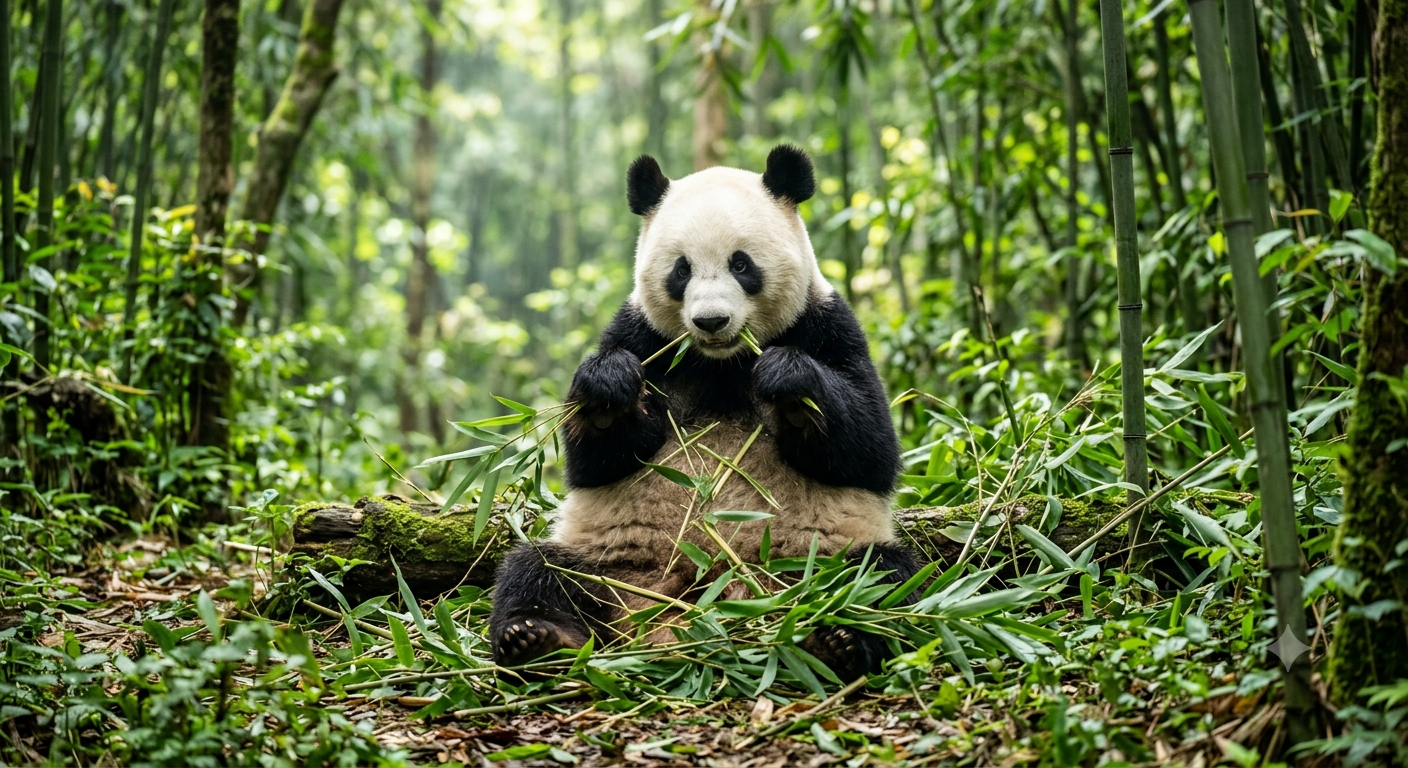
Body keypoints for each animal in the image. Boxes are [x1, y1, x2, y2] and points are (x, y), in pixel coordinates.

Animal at [489, 145, 921, 682]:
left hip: (820, 556)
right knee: (536, 570)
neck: (722, 362)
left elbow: (870, 447)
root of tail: (710, 595)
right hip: (609, 559)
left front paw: (788, 380)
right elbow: (594, 461)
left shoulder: (825, 325)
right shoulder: (641, 336)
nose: (711, 321)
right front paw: (609, 390)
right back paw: (537, 639)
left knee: (880, 581)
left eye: (741, 264)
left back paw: (837, 640)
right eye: (681, 270)